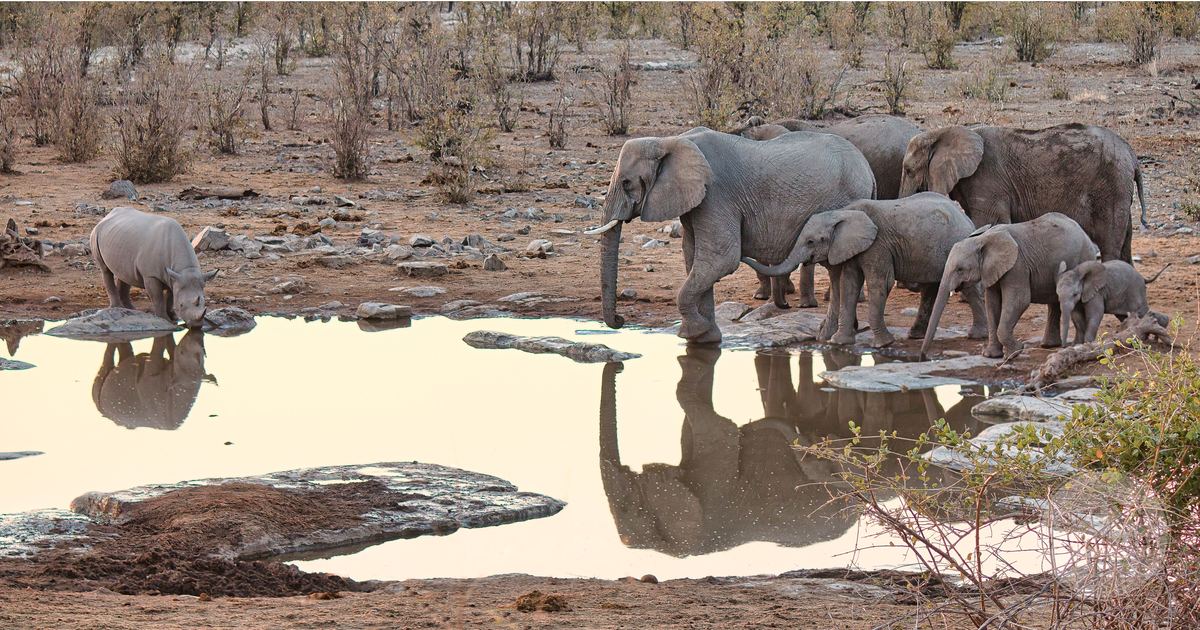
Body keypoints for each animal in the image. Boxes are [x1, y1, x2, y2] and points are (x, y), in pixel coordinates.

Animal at [591, 127, 875, 343]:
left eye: (627, 183)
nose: (621, 320)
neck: (670, 141)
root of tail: (868, 169)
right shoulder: (697, 201)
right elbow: (694, 258)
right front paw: (706, 339)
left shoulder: (716, 195)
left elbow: (720, 259)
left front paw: (694, 332)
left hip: (845, 203)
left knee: (837, 270)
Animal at [742, 192, 988, 348]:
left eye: (811, 242)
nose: (742, 254)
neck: (843, 213)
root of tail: (966, 218)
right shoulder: (852, 247)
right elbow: (849, 283)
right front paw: (838, 342)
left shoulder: (878, 245)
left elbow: (880, 283)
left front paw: (883, 344)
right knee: (930, 289)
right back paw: (915, 335)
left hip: (957, 244)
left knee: (966, 287)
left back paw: (976, 336)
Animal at [897, 123, 1147, 264]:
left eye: (909, 170)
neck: (944, 132)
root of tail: (1133, 156)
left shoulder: (987, 182)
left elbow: (988, 223)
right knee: (1125, 241)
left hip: (1111, 186)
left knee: (1110, 243)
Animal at [921, 213, 1101, 359]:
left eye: (960, 269)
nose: (923, 357)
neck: (982, 239)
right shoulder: (992, 270)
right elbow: (992, 303)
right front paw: (991, 355)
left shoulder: (1017, 266)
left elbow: (1019, 300)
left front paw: (1015, 352)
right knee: (1055, 302)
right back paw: (1048, 345)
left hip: (1082, 259)